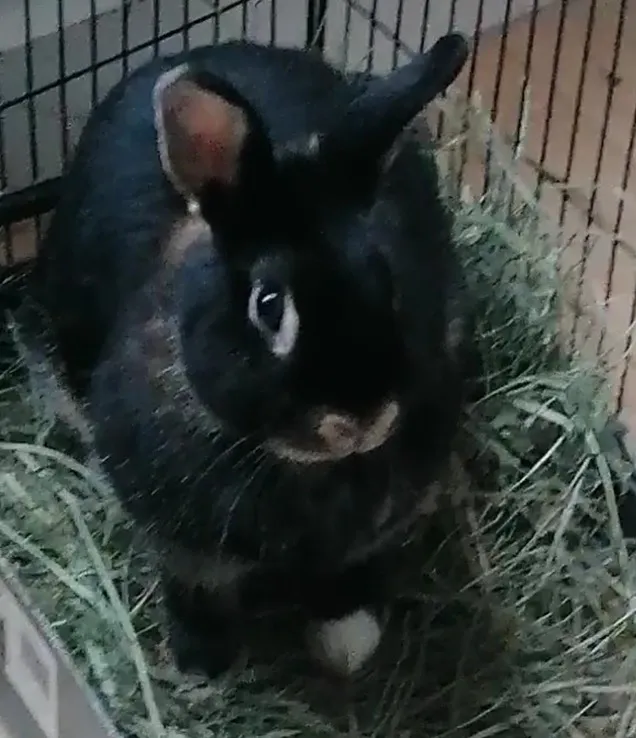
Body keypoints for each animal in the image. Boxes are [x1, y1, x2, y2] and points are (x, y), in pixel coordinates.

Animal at [22, 33, 474, 679]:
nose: (359, 419)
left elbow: (349, 579)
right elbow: (197, 591)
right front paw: (200, 664)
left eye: (386, 278)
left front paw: (348, 643)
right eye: (268, 304)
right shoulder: (183, 545)